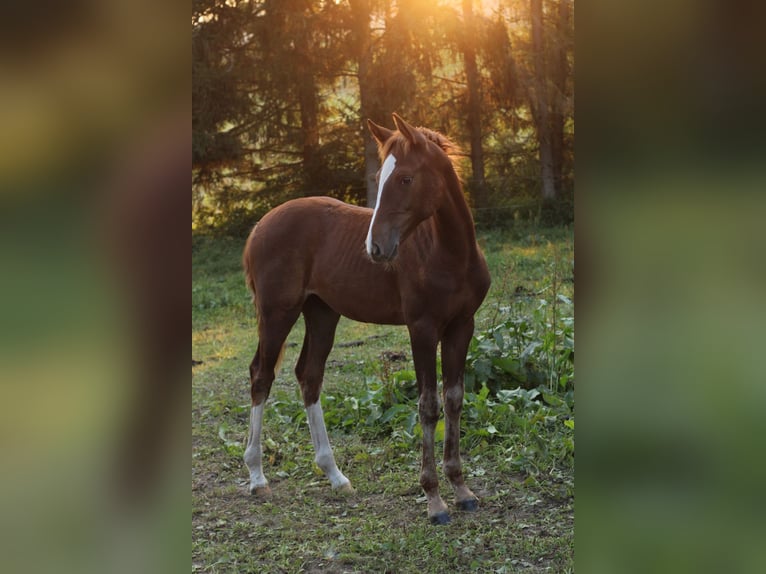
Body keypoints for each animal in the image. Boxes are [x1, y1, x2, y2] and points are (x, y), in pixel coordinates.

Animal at [243, 113, 488, 528]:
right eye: (379, 177)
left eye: (405, 178)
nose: (376, 248)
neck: (450, 253)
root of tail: (260, 226)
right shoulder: (422, 329)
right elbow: (428, 405)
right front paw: (434, 500)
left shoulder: (461, 326)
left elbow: (454, 399)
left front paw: (462, 490)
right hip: (277, 313)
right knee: (262, 376)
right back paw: (258, 477)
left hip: (322, 313)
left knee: (309, 376)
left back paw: (335, 475)